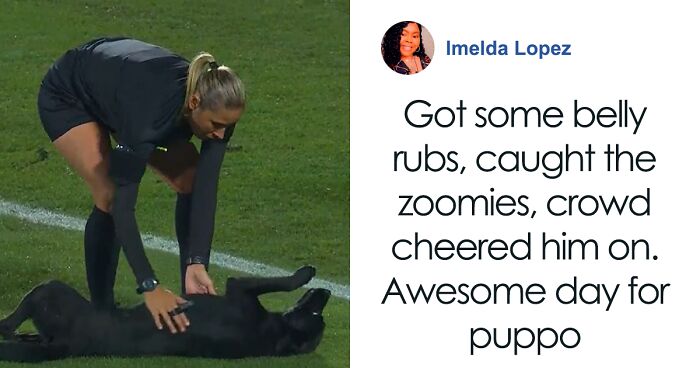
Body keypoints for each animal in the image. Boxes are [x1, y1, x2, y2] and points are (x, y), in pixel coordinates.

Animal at [0, 266, 330, 360]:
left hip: (49, 290)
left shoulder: (238, 289)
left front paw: (305, 272)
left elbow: (281, 281)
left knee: (9, 323)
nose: (325, 293)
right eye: (317, 313)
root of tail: (69, 346)